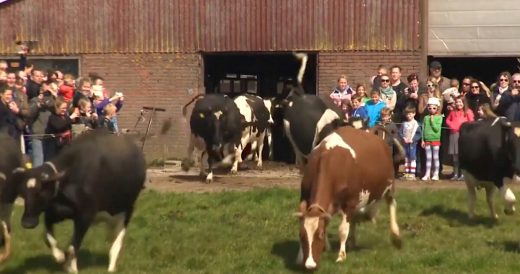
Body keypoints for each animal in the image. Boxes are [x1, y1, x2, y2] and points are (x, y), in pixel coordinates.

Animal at [7, 132, 146, 272]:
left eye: (41, 192)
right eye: (23, 193)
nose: (27, 223)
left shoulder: (85, 216)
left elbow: (73, 247)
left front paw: (71, 268)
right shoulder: (52, 213)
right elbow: (48, 238)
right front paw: (60, 257)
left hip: (127, 210)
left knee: (117, 242)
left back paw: (111, 268)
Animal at [294, 127, 400, 270]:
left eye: (320, 235)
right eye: (302, 236)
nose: (310, 265)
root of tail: (371, 131)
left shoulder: (349, 203)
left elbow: (343, 230)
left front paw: (341, 256)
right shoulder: (305, 198)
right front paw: (301, 257)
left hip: (389, 186)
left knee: (391, 204)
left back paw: (396, 236)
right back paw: (352, 242)